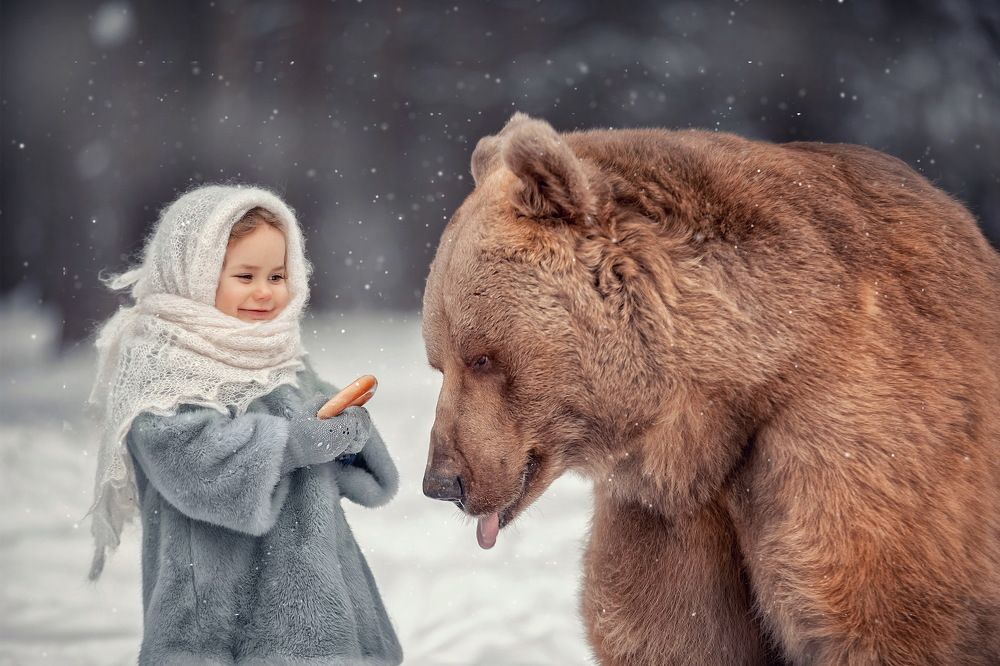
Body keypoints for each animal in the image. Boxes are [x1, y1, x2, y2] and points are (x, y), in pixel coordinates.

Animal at [420, 112, 1000, 665]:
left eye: (482, 356)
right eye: (439, 362)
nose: (442, 481)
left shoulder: (861, 456)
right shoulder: (669, 518)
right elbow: (675, 628)